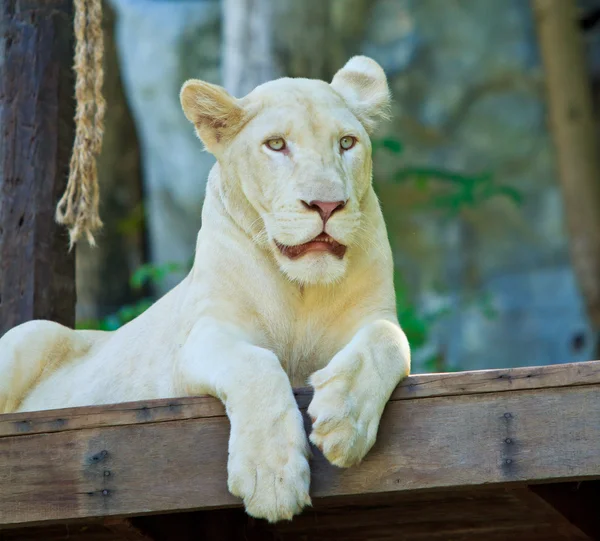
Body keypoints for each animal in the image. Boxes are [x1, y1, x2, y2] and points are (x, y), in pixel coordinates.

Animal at [0, 56, 410, 524]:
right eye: (276, 145)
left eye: (346, 143)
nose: (327, 205)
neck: (301, 289)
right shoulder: (203, 337)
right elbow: (256, 364)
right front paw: (272, 477)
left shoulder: (376, 317)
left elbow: (386, 343)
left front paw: (344, 422)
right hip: (29, 334)